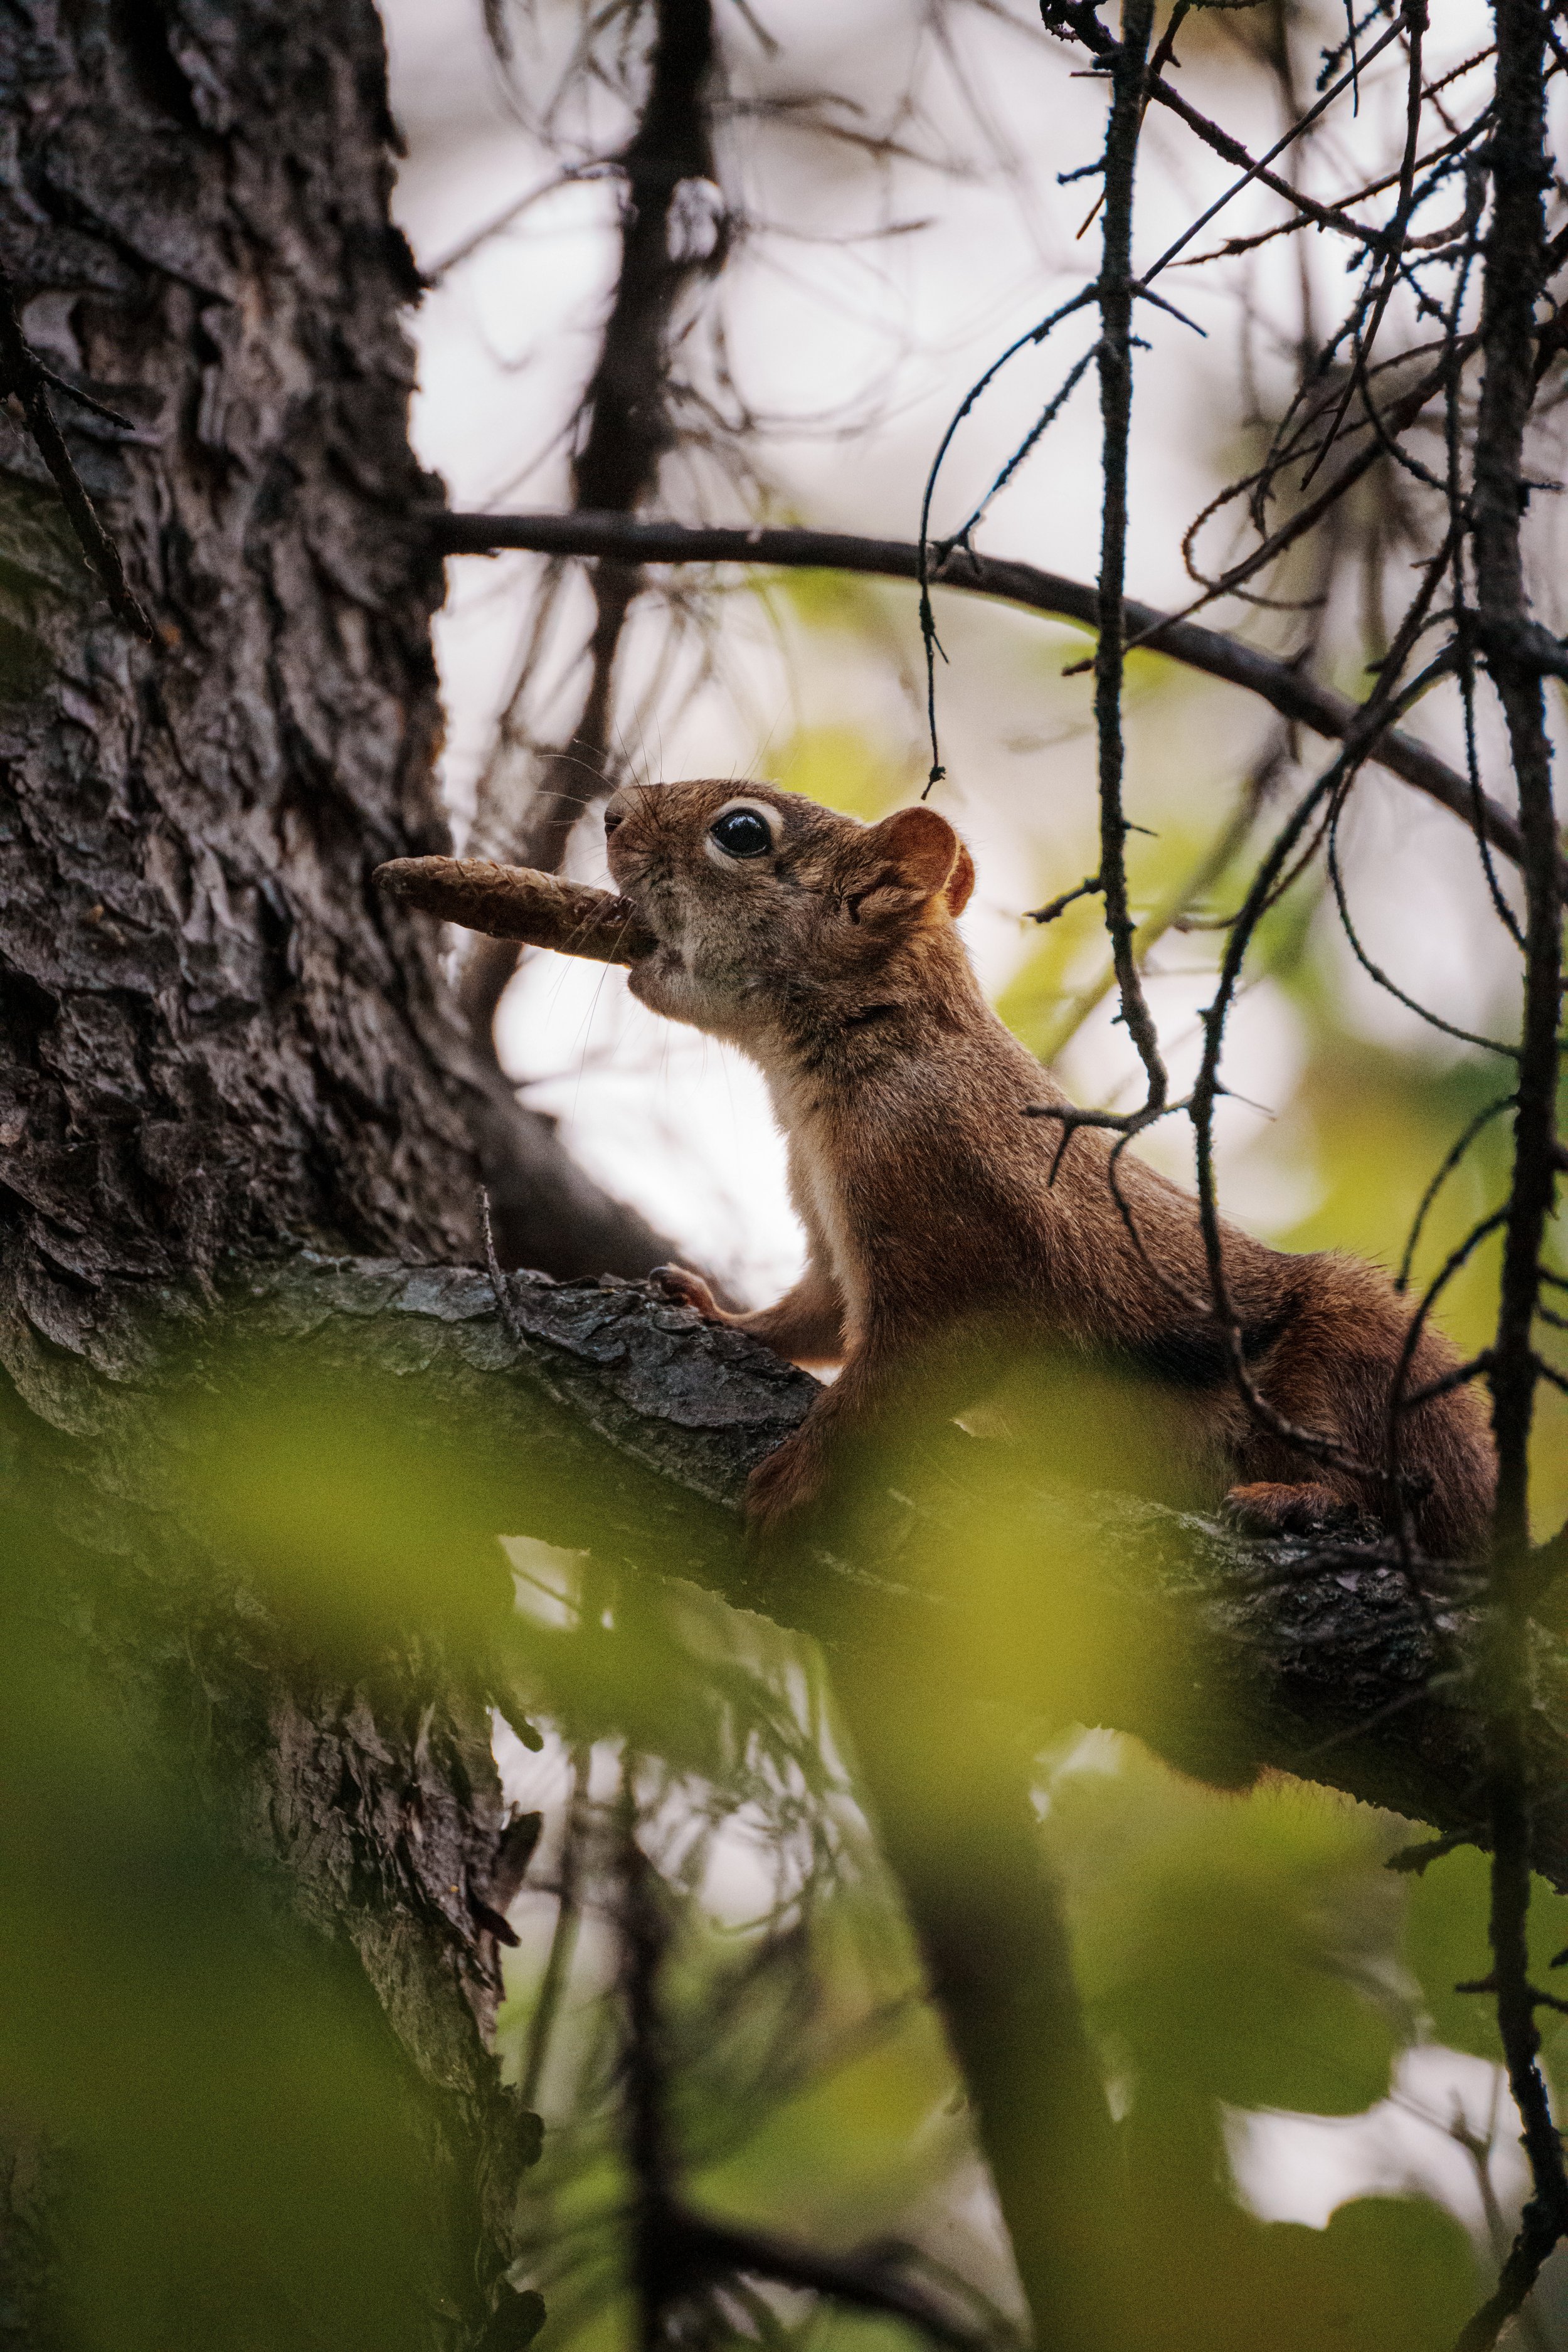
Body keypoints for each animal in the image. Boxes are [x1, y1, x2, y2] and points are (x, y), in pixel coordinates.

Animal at [602, 777, 1496, 1553]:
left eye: (741, 832)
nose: (610, 812)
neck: (854, 1058)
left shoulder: (955, 1222)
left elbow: (893, 1379)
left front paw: (800, 1474)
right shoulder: (834, 1237)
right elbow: (812, 1315)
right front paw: (716, 1314)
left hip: (1356, 1362)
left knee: (1396, 1497)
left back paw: (1302, 1498)